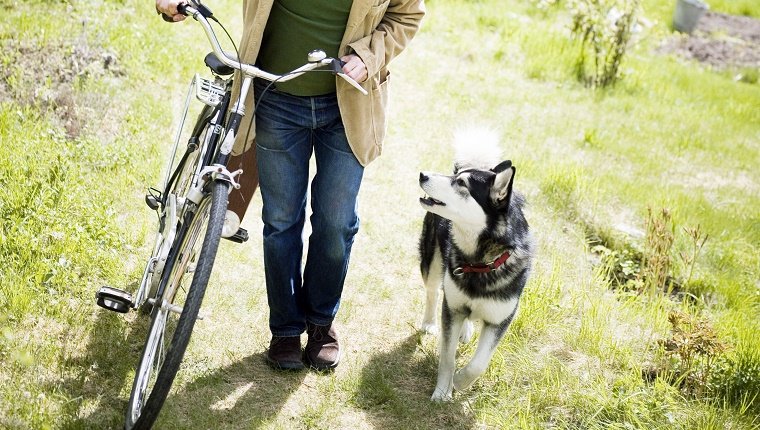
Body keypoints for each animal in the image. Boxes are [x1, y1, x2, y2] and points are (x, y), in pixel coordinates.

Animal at [416, 129, 536, 402]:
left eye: (461, 184)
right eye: (456, 176)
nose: (422, 174)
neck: (481, 263)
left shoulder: (500, 319)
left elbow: (479, 363)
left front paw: (461, 380)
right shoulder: (451, 309)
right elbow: (447, 358)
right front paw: (443, 391)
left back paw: (466, 330)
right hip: (433, 262)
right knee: (432, 291)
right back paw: (429, 323)